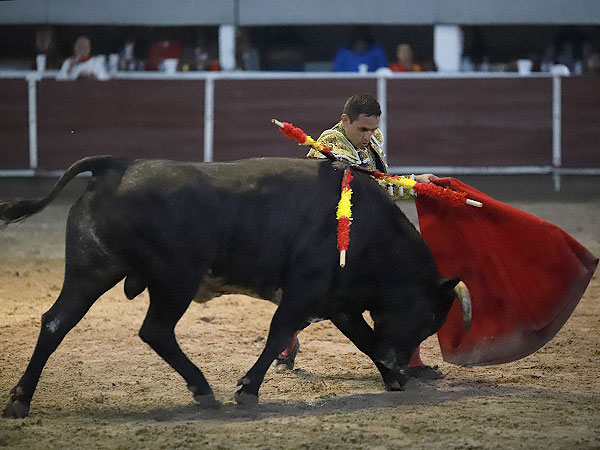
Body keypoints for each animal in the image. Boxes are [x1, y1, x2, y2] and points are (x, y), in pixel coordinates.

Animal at [1, 156, 468, 416]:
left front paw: (393, 377)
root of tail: (118, 166)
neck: (368, 231)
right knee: (155, 330)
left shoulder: (339, 303)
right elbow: (279, 333)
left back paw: (20, 399)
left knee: (56, 323)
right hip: (174, 280)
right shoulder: (305, 292)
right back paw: (204, 390)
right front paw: (247, 390)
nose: (400, 360)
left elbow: (365, 339)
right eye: (429, 316)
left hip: (92, 270)